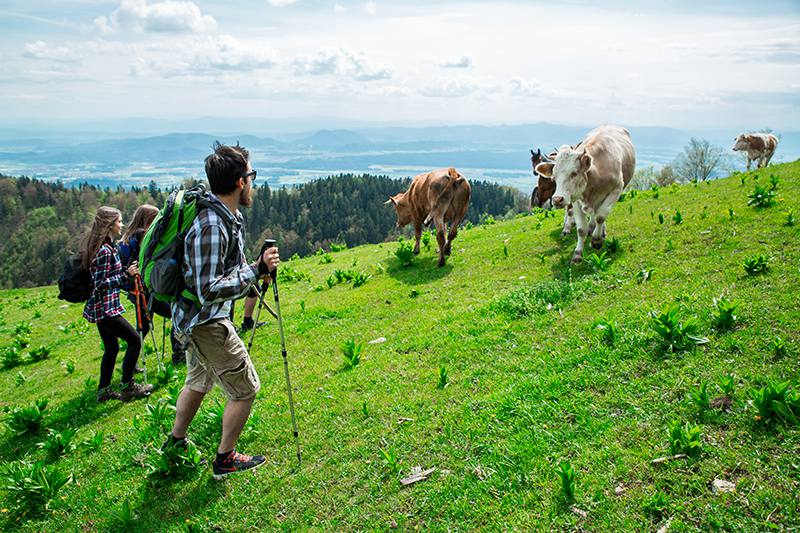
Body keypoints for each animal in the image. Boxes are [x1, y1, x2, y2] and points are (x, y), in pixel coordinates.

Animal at [536, 127, 636, 264]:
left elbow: (601, 217)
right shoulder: (576, 199)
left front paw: (597, 240)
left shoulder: (616, 190)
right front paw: (577, 254)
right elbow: (581, 229)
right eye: (554, 176)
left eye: (574, 173)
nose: (557, 199)